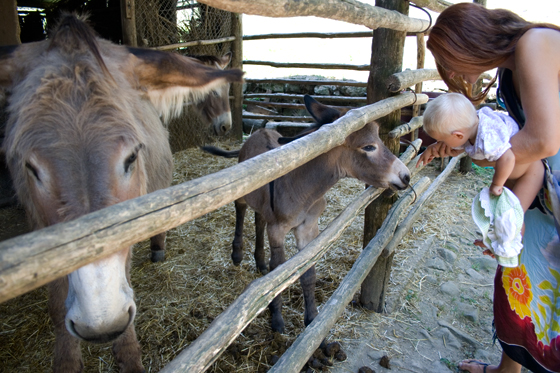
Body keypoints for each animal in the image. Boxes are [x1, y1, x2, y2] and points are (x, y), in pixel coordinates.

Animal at [203, 95, 410, 332]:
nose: (406, 176)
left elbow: (308, 273)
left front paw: (312, 320)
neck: (302, 187)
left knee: (259, 220)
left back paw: (259, 261)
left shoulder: (308, 228)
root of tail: (258, 131)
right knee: (240, 211)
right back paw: (237, 254)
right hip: (242, 192)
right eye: (368, 147)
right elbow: (278, 273)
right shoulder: (277, 230)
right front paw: (277, 319)